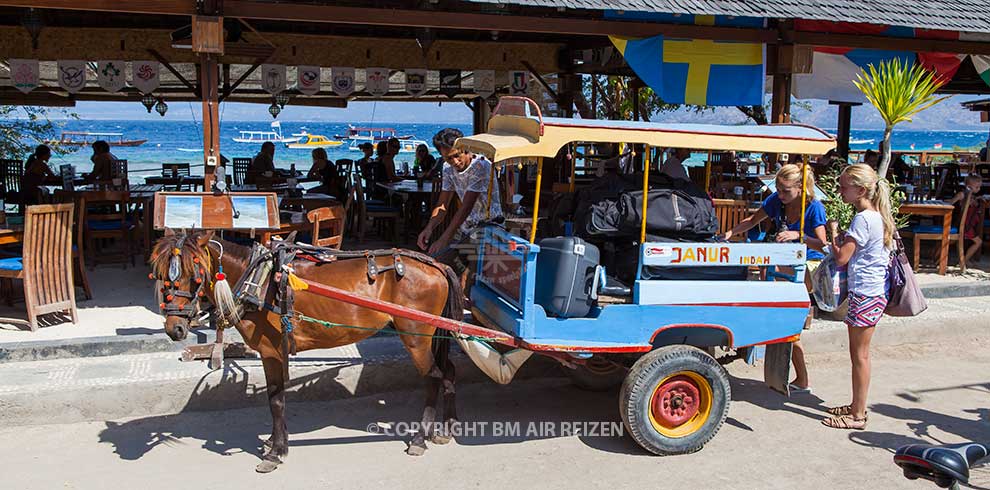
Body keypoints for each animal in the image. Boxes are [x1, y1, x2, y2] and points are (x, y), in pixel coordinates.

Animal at [151, 232, 464, 472]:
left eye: (193, 272)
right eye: (161, 274)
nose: (174, 328)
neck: (257, 281)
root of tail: (437, 265)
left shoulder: (272, 350)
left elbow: (276, 400)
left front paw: (276, 453)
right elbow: (276, 398)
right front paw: (275, 442)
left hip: (416, 337)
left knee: (432, 377)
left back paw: (420, 438)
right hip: (430, 336)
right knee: (448, 371)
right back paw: (447, 428)